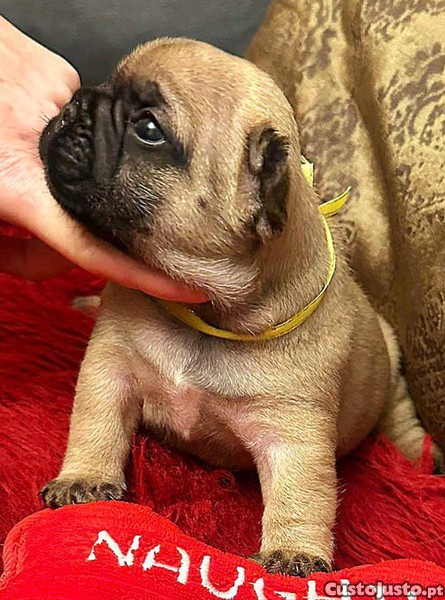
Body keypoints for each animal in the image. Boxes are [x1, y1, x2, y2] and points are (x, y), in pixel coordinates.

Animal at [39, 38, 436, 576]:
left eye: (149, 129)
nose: (77, 101)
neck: (207, 313)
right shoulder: (110, 368)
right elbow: (95, 424)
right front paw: (83, 479)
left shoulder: (293, 432)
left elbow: (301, 493)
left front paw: (294, 552)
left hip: (388, 359)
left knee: (395, 408)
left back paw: (414, 454)